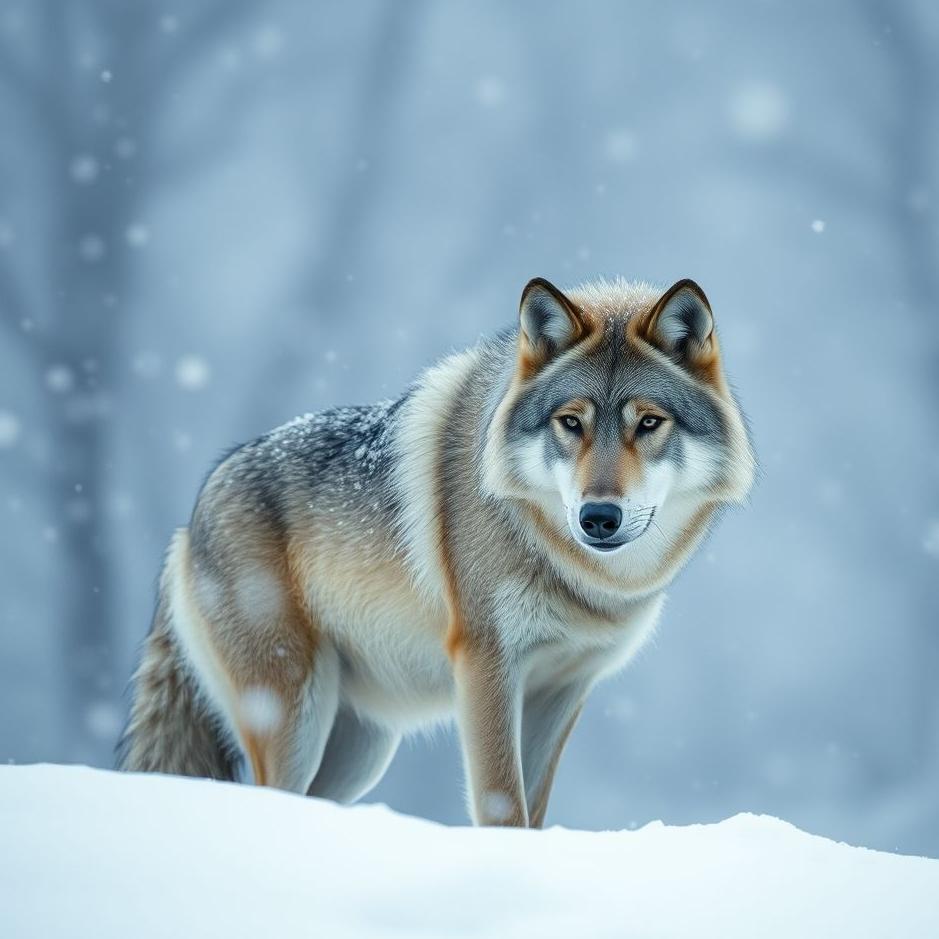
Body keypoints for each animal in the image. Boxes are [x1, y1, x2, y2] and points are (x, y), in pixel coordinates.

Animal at [119, 276, 754, 827]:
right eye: (570, 423)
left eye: (648, 423)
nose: (598, 517)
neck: (580, 577)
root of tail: (187, 525)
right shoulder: (485, 665)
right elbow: (504, 808)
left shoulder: (562, 690)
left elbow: (536, 813)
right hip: (294, 717)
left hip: (360, 750)